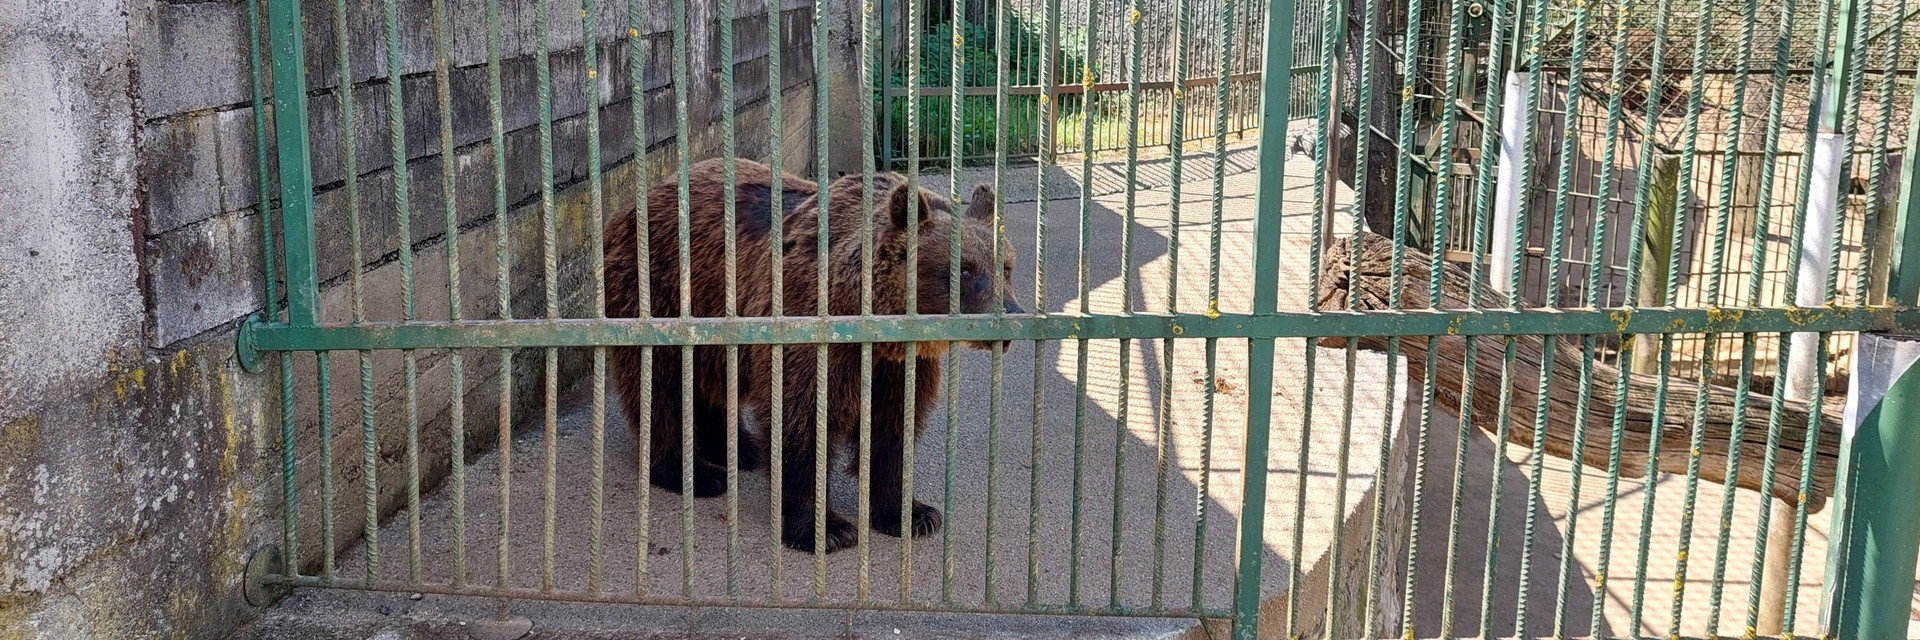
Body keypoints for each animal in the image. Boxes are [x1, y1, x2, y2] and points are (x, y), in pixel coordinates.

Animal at [604, 158, 1020, 554]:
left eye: (1005, 267)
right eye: (963, 270)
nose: (1012, 316)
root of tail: (648, 193)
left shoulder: (899, 365)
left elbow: (894, 427)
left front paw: (911, 514)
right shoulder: (808, 329)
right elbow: (801, 420)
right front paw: (824, 529)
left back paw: (739, 448)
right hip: (662, 291)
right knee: (660, 384)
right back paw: (694, 472)